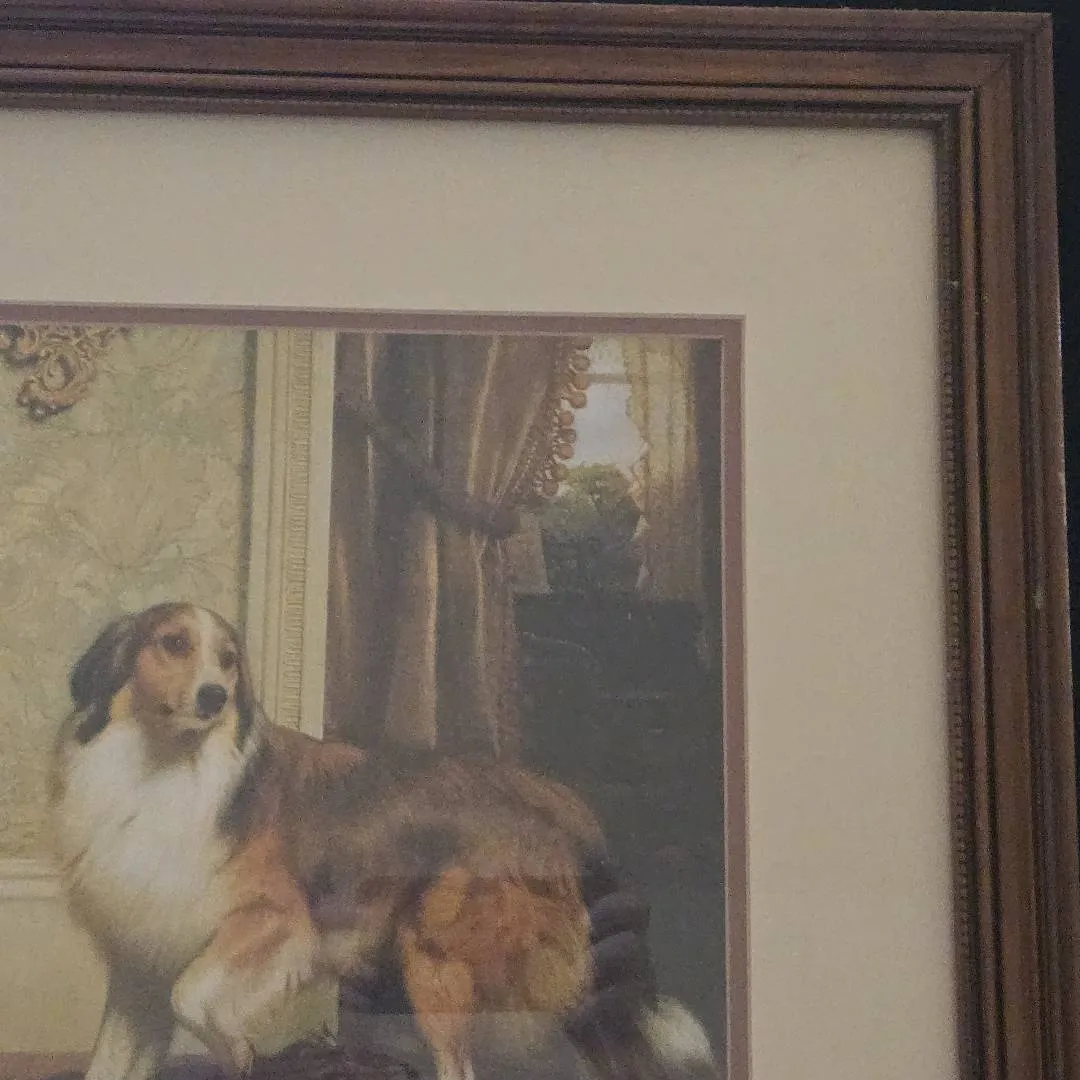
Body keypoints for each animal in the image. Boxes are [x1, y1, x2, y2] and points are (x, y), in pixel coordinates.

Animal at [50, 602, 719, 1080]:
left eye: (229, 659)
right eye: (174, 643)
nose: (213, 696)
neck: (164, 769)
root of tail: (556, 800)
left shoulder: (276, 922)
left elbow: (191, 995)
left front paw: (236, 1048)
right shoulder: (139, 970)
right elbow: (114, 1058)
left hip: (437, 962)